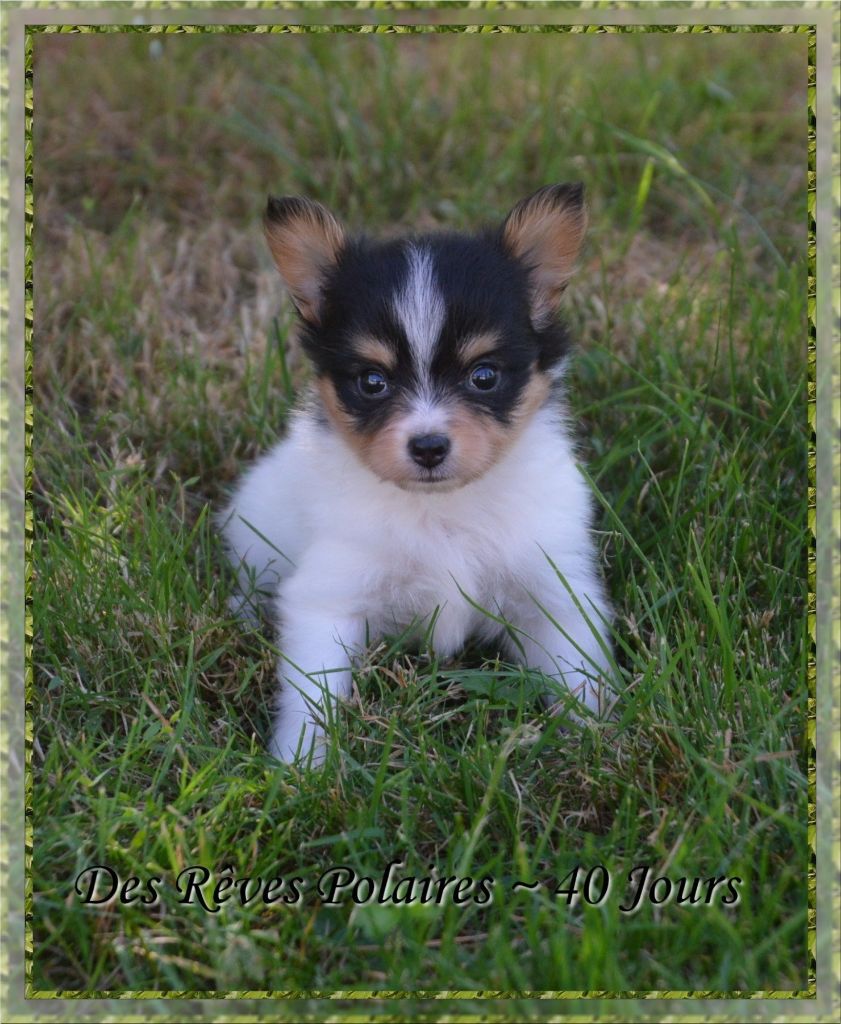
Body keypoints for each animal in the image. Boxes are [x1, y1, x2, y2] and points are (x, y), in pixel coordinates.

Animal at [220, 184, 614, 765]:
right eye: (372, 382)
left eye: (484, 376)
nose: (428, 446)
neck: (442, 508)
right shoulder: (329, 598)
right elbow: (313, 695)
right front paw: (302, 765)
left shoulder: (552, 593)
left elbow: (578, 677)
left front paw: (595, 741)